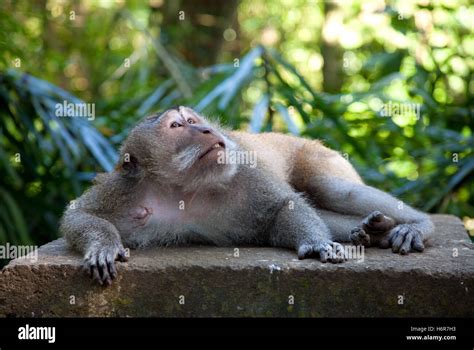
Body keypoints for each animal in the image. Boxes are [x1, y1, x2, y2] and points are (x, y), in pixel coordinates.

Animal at [61, 106, 436, 284]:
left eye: (192, 119)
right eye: (177, 127)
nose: (207, 129)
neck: (184, 186)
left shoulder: (244, 168)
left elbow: (284, 207)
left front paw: (316, 244)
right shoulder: (127, 186)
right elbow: (78, 214)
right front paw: (104, 247)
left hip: (317, 155)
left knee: (331, 188)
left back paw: (417, 226)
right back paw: (372, 230)